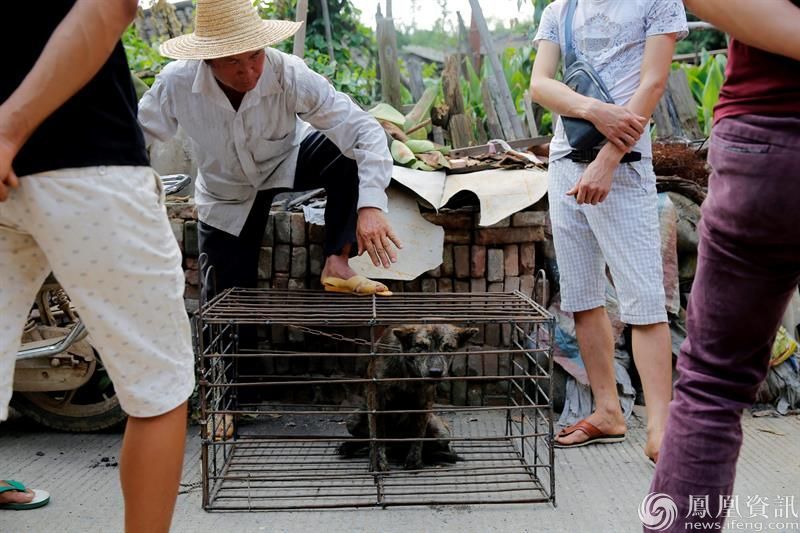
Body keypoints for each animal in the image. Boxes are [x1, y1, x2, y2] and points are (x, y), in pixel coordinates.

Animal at [336, 324, 476, 470]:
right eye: (420, 346)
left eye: (449, 348)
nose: (435, 372)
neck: (409, 371)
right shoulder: (376, 398)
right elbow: (376, 434)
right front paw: (378, 461)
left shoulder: (424, 401)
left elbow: (418, 434)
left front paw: (414, 460)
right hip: (353, 419)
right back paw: (349, 446)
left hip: (442, 433)